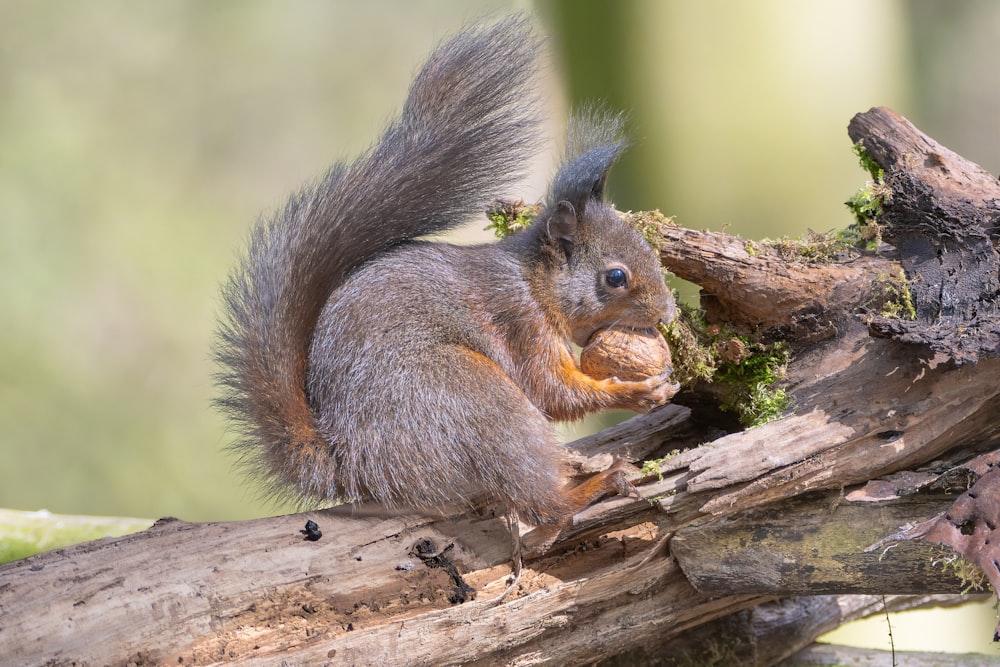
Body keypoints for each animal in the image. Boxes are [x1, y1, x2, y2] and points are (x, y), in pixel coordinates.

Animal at [214, 17, 676, 528]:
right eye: (615, 277)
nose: (668, 313)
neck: (534, 285)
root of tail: (354, 460)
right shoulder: (520, 325)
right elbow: (552, 391)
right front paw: (636, 392)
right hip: (474, 398)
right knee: (542, 505)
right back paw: (597, 484)